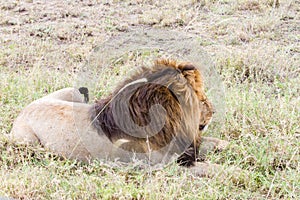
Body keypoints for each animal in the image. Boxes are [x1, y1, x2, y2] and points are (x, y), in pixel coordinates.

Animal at [10, 59, 229, 177]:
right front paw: (236, 172)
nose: (214, 111)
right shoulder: (165, 167)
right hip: (28, 142)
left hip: (75, 93)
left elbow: (213, 143)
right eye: (199, 96)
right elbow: (214, 168)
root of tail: (25, 109)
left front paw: (228, 145)